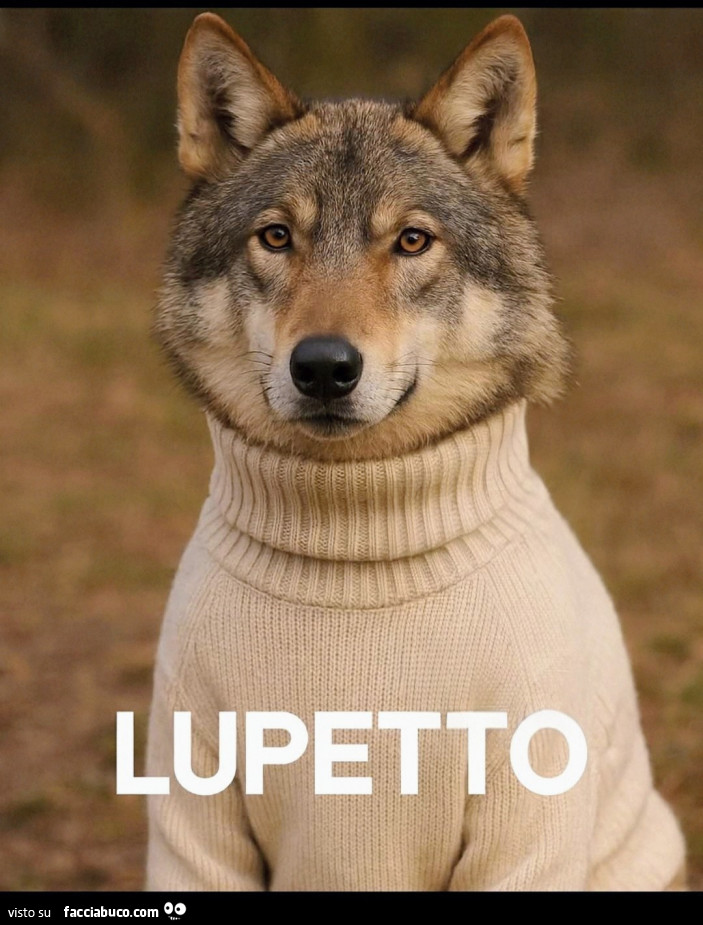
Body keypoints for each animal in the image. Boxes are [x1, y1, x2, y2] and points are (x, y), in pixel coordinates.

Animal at [146, 12, 686, 890]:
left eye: (409, 240)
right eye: (276, 237)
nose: (323, 366)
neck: (358, 543)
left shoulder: (527, 815)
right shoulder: (193, 809)